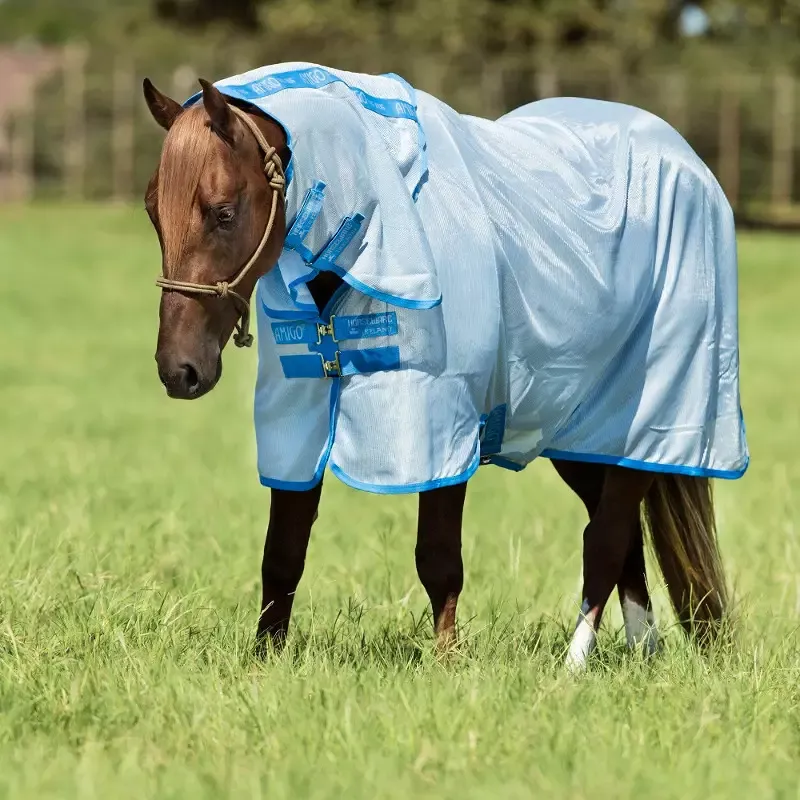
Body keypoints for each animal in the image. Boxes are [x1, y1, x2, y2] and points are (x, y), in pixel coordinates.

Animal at [141, 65, 746, 670]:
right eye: (152, 209)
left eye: (223, 211)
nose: (179, 369)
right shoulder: (300, 419)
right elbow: (282, 554)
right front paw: (265, 660)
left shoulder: (441, 426)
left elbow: (437, 558)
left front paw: (448, 662)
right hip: (583, 433)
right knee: (623, 542)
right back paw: (642, 656)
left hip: (652, 420)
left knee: (607, 538)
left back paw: (573, 668)